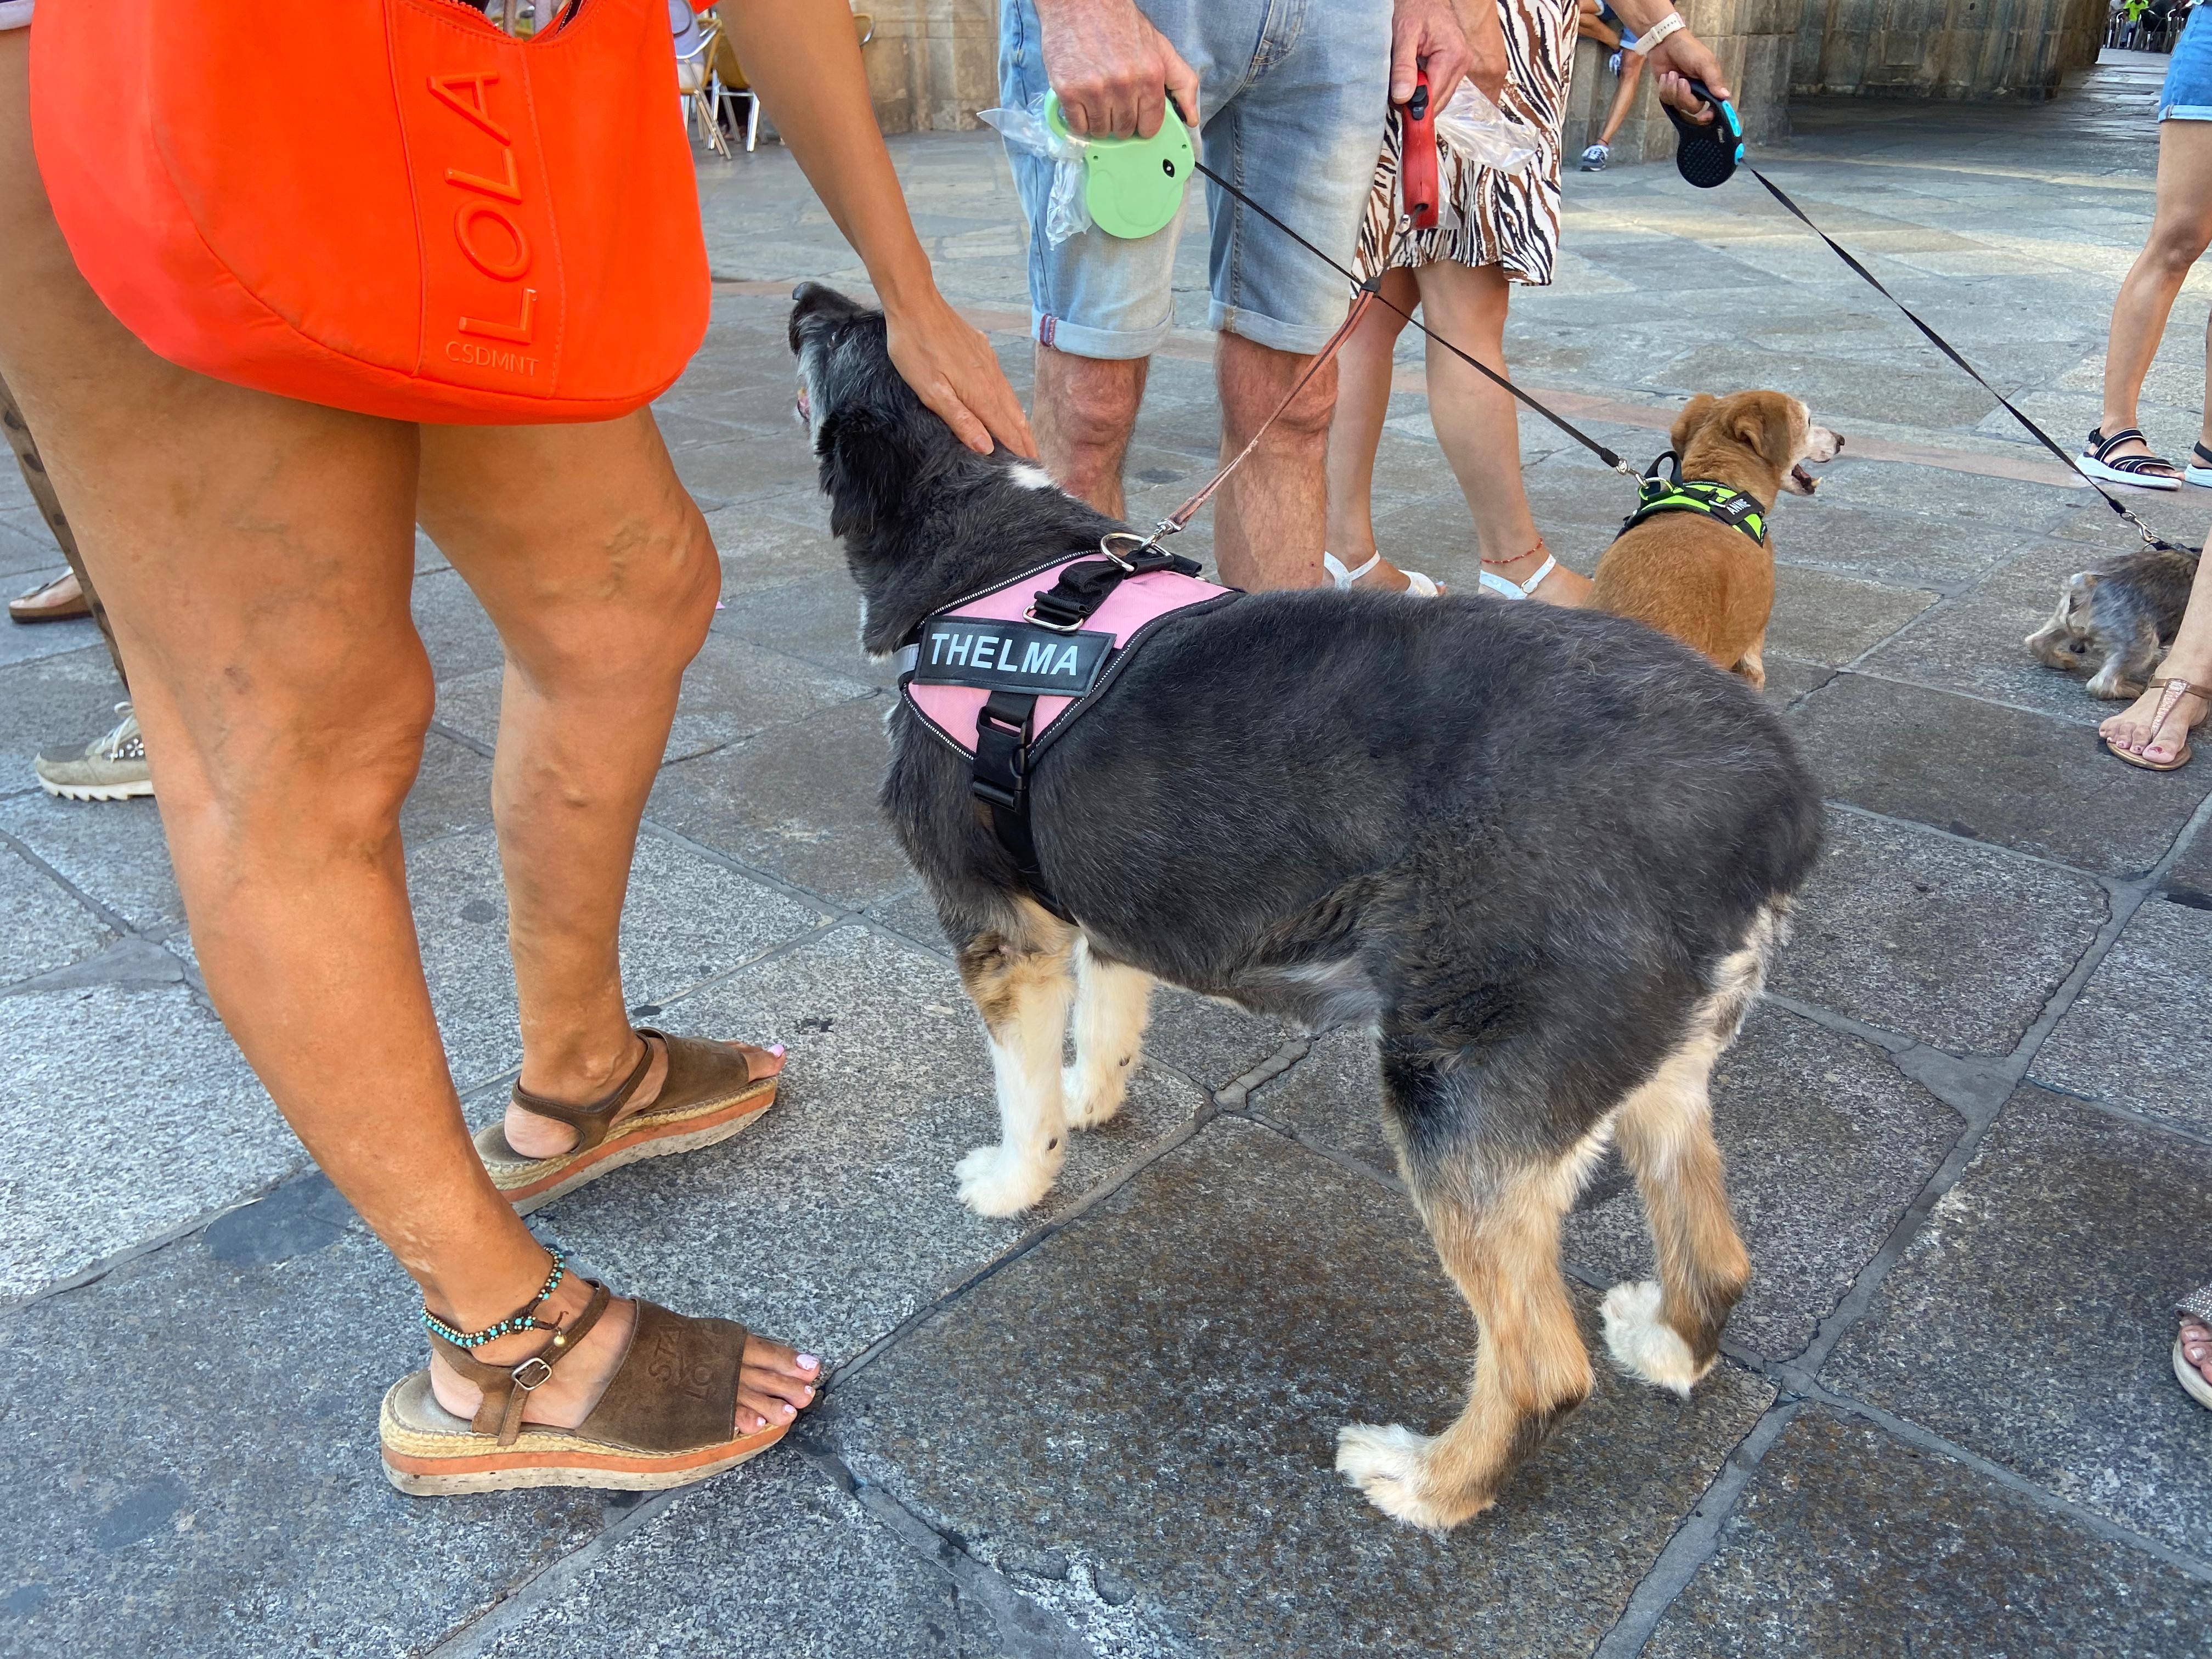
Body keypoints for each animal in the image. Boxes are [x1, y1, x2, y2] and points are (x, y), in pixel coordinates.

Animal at [787, 283, 1822, 1531]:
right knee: (1716, 1258)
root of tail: (1767, 798)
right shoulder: (1112, 894)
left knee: (1538, 1365)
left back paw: (1429, 1483)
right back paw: (1667, 1345)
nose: (800, 296)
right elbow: (1109, 1028)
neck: (995, 561)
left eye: (838, 337)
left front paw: (1016, 1178)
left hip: (1458, 1092)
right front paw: (1093, 1100)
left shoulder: (999, 926)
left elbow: (1020, 1089)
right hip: (1653, 1070)